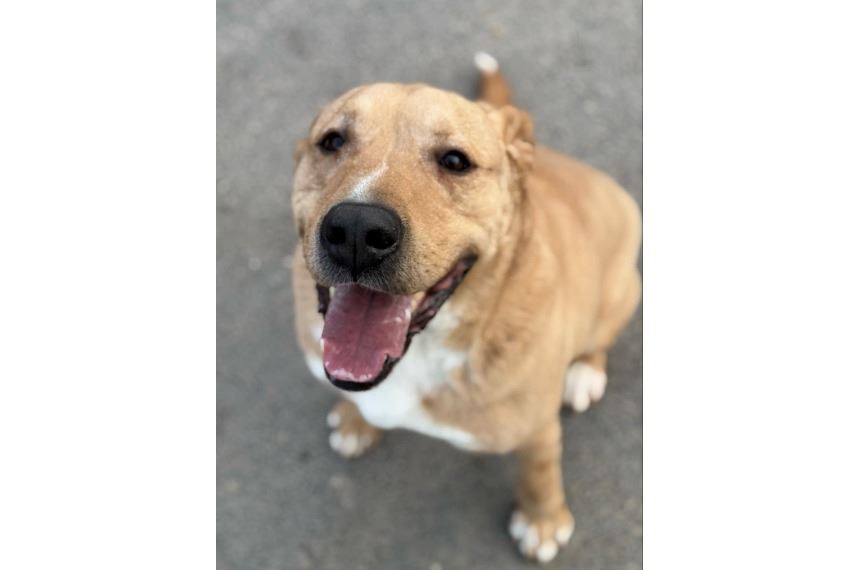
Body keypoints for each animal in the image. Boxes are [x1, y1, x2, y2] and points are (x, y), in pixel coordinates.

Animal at [290, 52, 641, 563]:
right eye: (332, 141)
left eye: (455, 161)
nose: (355, 230)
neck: (422, 355)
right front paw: (356, 421)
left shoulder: (538, 426)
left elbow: (539, 470)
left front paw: (542, 520)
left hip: (620, 291)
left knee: (600, 339)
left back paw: (585, 372)